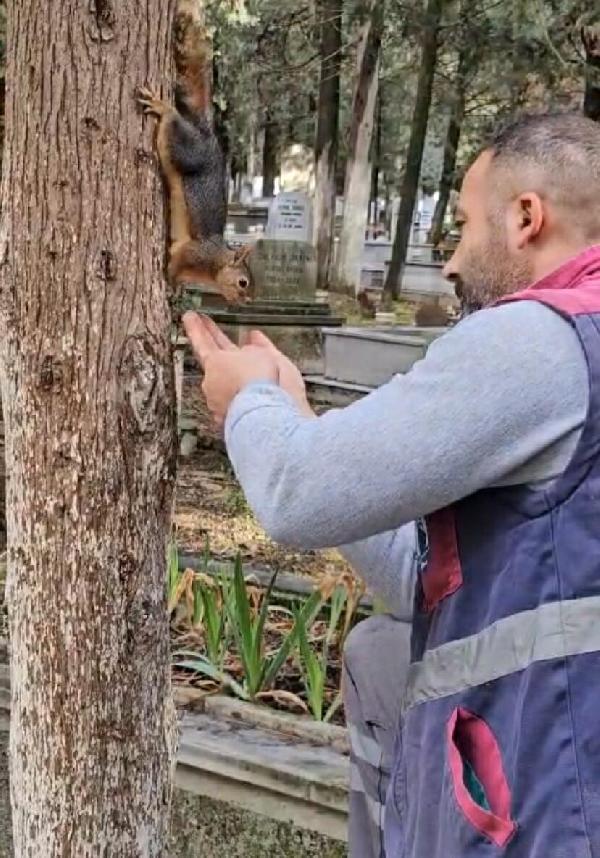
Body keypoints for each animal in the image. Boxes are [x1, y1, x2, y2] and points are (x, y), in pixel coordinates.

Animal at [139, 1, 253, 304]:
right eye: (243, 282)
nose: (247, 301)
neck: (213, 264)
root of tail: (205, 132)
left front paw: (178, 289)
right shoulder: (191, 253)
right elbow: (174, 264)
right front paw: (169, 285)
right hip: (181, 146)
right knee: (171, 122)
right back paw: (163, 107)